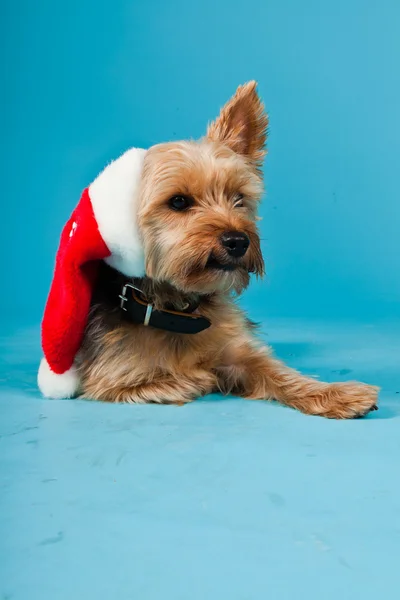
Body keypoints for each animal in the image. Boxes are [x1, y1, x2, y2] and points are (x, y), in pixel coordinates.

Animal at [76, 82, 378, 418]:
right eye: (178, 201)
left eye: (239, 198)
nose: (238, 241)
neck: (176, 308)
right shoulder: (108, 379)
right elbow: (168, 379)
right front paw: (197, 376)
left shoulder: (237, 349)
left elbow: (275, 370)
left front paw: (339, 393)